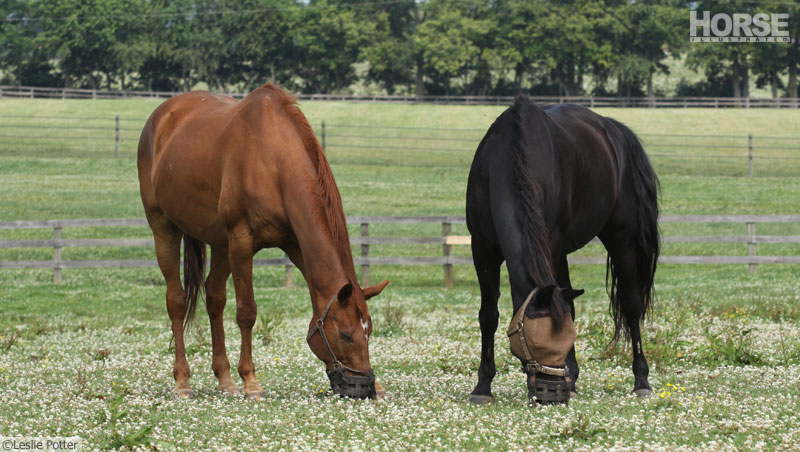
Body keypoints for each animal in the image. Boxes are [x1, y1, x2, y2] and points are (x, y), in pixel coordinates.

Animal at [139, 82, 390, 400]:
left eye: (368, 330)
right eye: (345, 334)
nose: (364, 386)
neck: (272, 160)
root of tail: (161, 115)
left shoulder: (295, 244)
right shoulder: (242, 242)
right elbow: (247, 311)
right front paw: (251, 381)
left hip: (220, 243)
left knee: (215, 298)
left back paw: (225, 378)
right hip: (164, 228)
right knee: (176, 300)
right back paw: (182, 381)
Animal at [466, 94, 660, 402]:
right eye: (534, 343)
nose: (554, 394)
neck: (510, 155)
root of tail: (613, 129)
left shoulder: (552, 247)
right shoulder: (482, 250)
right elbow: (489, 315)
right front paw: (483, 386)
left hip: (623, 241)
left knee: (631, 306)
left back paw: (641, 380)